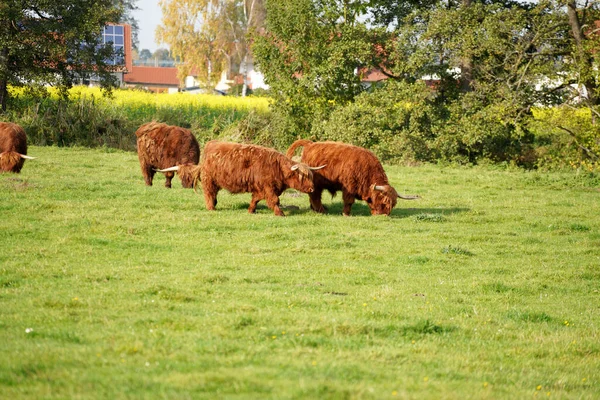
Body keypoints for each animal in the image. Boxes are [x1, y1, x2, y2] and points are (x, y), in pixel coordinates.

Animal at [284, 140, 418, 216]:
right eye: (384, 201)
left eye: (393, 204)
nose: (384, 215)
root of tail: (310, 144)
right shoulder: (349, 187)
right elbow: (348, 202)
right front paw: (346, 214)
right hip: (315, 183)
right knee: (315, 196)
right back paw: (322, 211)